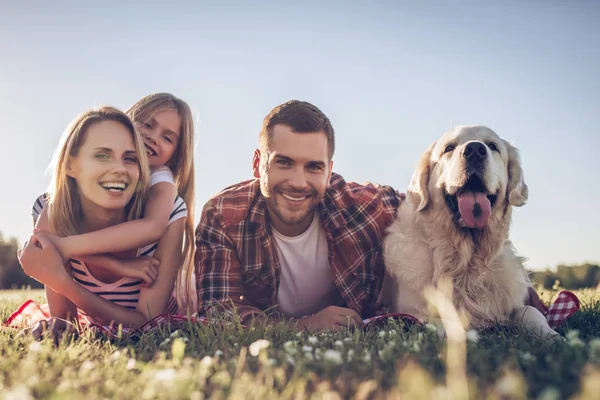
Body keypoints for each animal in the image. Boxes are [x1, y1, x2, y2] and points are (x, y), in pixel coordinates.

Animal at [384, 125, 556, 338]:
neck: (466, 260)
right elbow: (443, 322)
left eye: (492, 146)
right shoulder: (413, 312)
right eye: (449, 148)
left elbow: (530, 311)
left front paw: (552, 335)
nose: (474, 150)